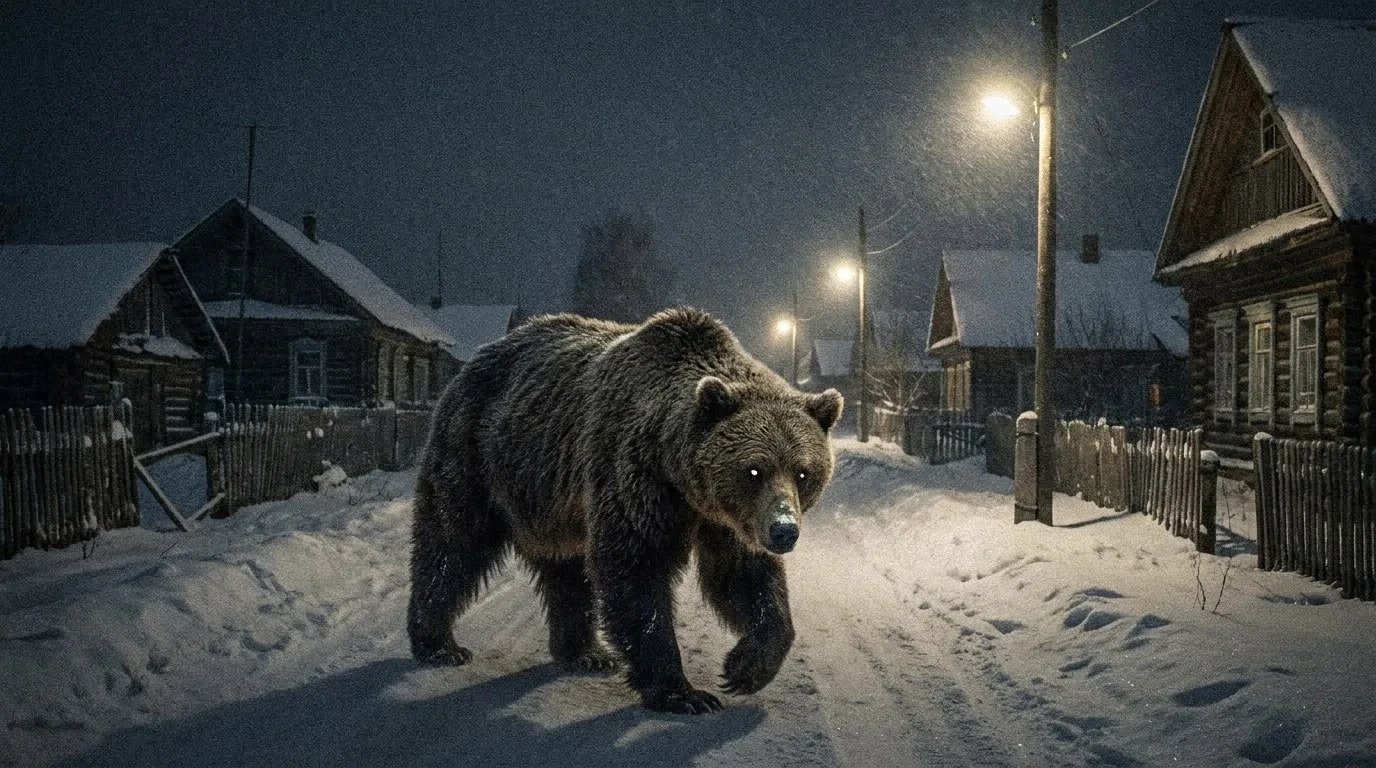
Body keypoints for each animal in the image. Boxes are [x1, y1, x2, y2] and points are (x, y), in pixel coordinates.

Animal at [407, 307, 843, 715]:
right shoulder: (636, 476)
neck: (683, 480)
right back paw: (438, 643)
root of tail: (477, 359)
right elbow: (635, 571)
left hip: (554, 502)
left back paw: (585, 653)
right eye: (754, 469)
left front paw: (743, 668)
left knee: (566, 570)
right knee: (452, 542)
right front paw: (682, 692)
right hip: (480, 453)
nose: (784, 530)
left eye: (803, 472)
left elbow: (744, 577)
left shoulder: (728, 520)